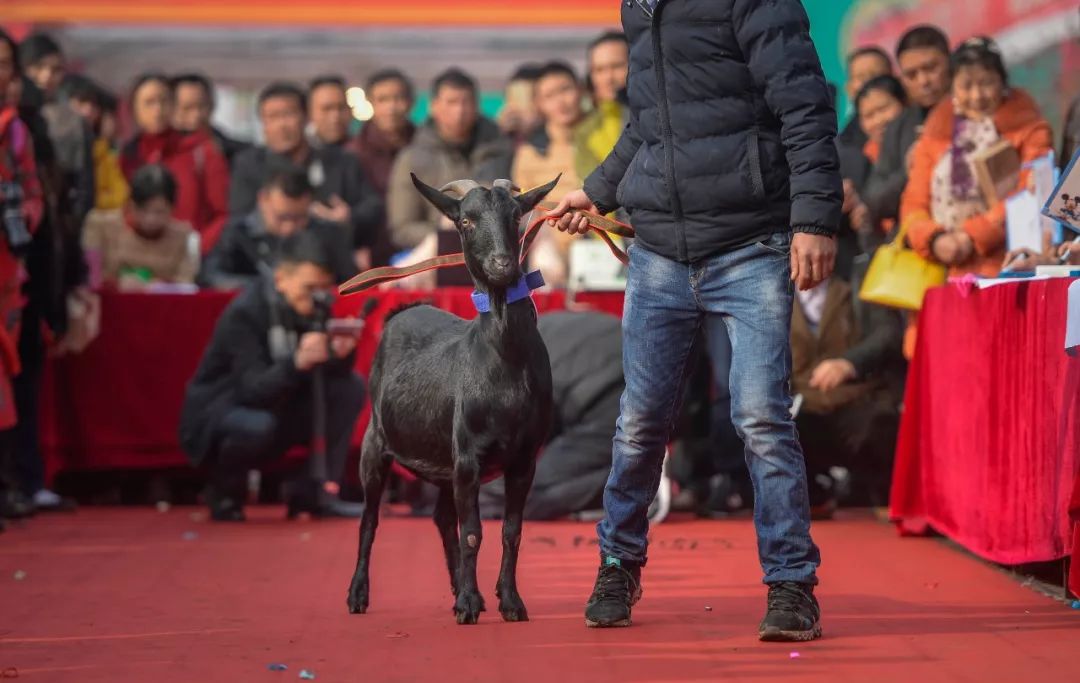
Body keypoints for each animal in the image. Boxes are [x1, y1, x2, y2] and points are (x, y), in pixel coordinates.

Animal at [345, 171, 561, 622]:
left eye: (516, 217)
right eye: (465, 220)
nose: (502, 265)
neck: (504, 366)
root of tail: (403, 310)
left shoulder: (523, 459)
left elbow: (511, 532)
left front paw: (508, 601)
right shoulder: (468, 456)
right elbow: (474, 533)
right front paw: (468, 605)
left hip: (442, 461)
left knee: (443, 520)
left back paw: (464, 590)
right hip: (375, 444)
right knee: (369, 522)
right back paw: (358, 595)